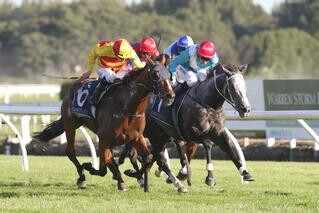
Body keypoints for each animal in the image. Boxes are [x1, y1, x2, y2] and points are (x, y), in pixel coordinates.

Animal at [33, 60, 175, 192]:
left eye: (169, 75)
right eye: (155, 74)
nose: (170, 95)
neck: (127, 107)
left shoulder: (136, 137)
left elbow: (147, 158)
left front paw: (131, 173)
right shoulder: (104, 138)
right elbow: (105, 164)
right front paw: (92, 168)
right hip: (70, 124)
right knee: (71, 152)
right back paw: (82, 177)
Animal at [127, 62, 255, 192]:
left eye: (244, 86)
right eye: (233, 87)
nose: (246, 109)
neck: (208, 104)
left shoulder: (218, 131)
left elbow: (228, 148)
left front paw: (245, 173)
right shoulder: (190, 132)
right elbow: (208, 144)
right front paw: (210, 178)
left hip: (161, 136)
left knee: (153, 157)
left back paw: (139, 175)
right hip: (154, 134)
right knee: (154, 157)